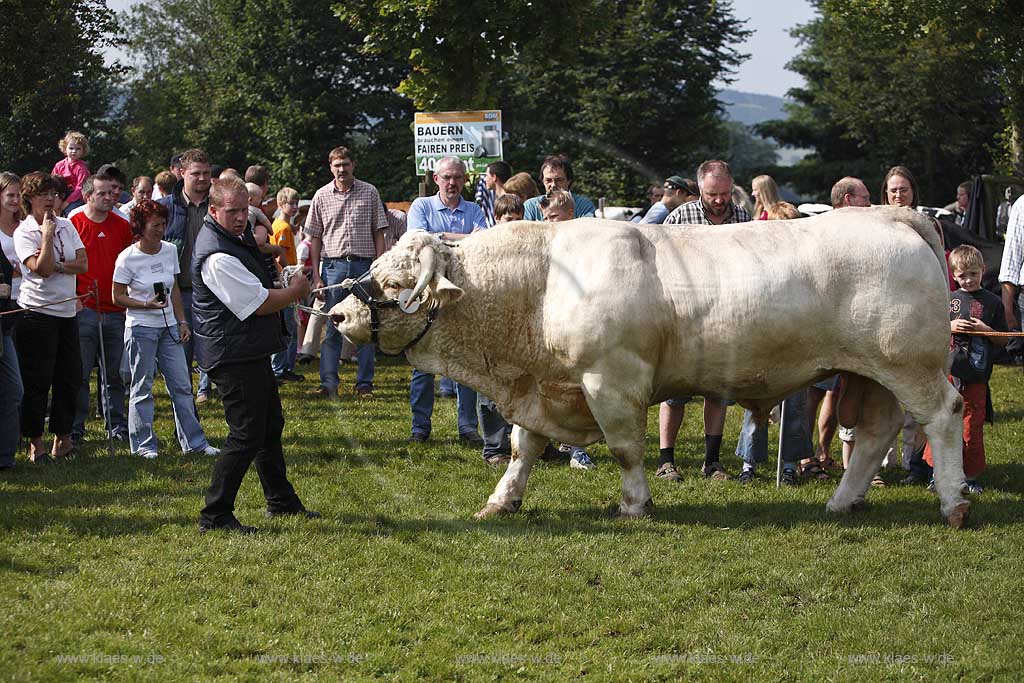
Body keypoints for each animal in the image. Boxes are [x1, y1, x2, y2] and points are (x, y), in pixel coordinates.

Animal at [333, 208, 966, 528]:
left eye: (393, 283)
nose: (336, 312)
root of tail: (891, 215)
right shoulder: (547, 387)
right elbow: (522, 447)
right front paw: (501, 500)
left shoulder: (610, 380)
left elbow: (625, 449)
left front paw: (636, 504)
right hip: (871, 372)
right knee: (876, 433)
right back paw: (842, 502)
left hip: (909, 362)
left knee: (942, 415)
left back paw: (954, 503)